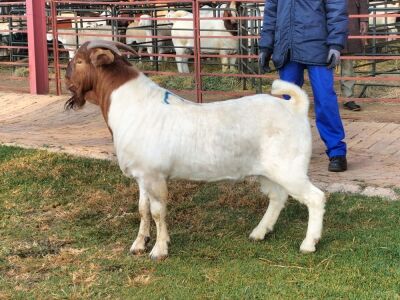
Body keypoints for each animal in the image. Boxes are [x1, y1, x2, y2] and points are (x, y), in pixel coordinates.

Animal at [65, 39, 326, 260]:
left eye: (79, 61)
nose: (67, 79)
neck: (132, 104)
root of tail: (296, 108)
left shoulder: (154, 176)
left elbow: (158, 211)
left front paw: (159, 250)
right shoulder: (142, 176)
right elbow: (142, 209)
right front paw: (139, 244)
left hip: (290, 168)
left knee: (315, 197)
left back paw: (308, 243)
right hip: (268, 171)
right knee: (278, 197)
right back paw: (259, 232)